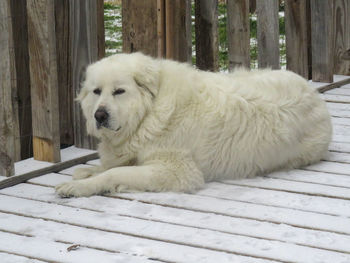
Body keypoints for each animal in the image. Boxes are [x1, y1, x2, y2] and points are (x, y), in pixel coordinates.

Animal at [54, 52, 330, 198]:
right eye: (96, 92)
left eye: (119, 91)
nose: (99, 115)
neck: (148, 113)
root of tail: (315, 94)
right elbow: (111, 166)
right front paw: (87, 172)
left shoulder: (177, 171)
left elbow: (116, 172)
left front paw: (79, 186)